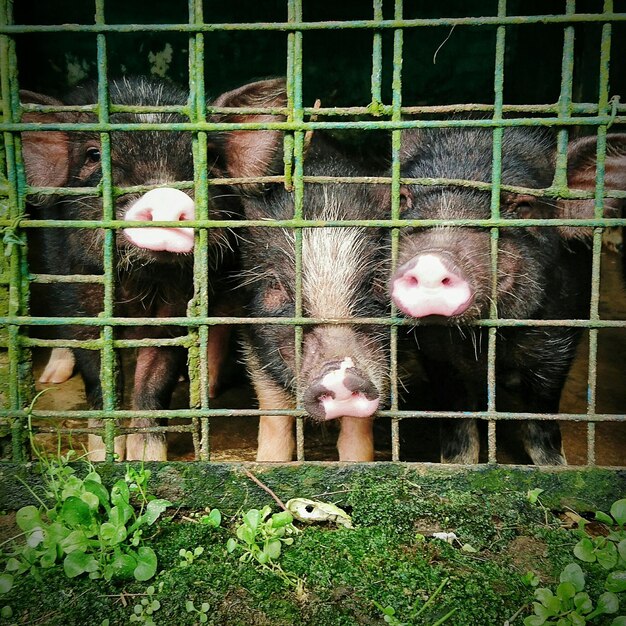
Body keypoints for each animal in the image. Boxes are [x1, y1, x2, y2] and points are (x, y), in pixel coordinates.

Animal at [20, 77, 286, 458]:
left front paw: (147, 455)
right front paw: (104, 456)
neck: (141, 279)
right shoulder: (77, 287)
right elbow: (98, 371)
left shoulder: (177, 305)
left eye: (210, 157)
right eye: (94, 155)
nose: (165, 194)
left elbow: (154, 376)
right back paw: (50, 377)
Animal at [235, 134, 390, 460]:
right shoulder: (254, 337)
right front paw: (269, 462)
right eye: (275, 283)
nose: (338, 372)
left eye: (376, 279)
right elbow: (273, 411)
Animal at [390, 127, 624, 464]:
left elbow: (542, 413)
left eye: (522, 207)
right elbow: (456, 415)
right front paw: (457, 463)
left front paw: (555, 466)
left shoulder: (561, 336)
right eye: (404, 199)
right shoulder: (433, 353)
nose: (430, 261)